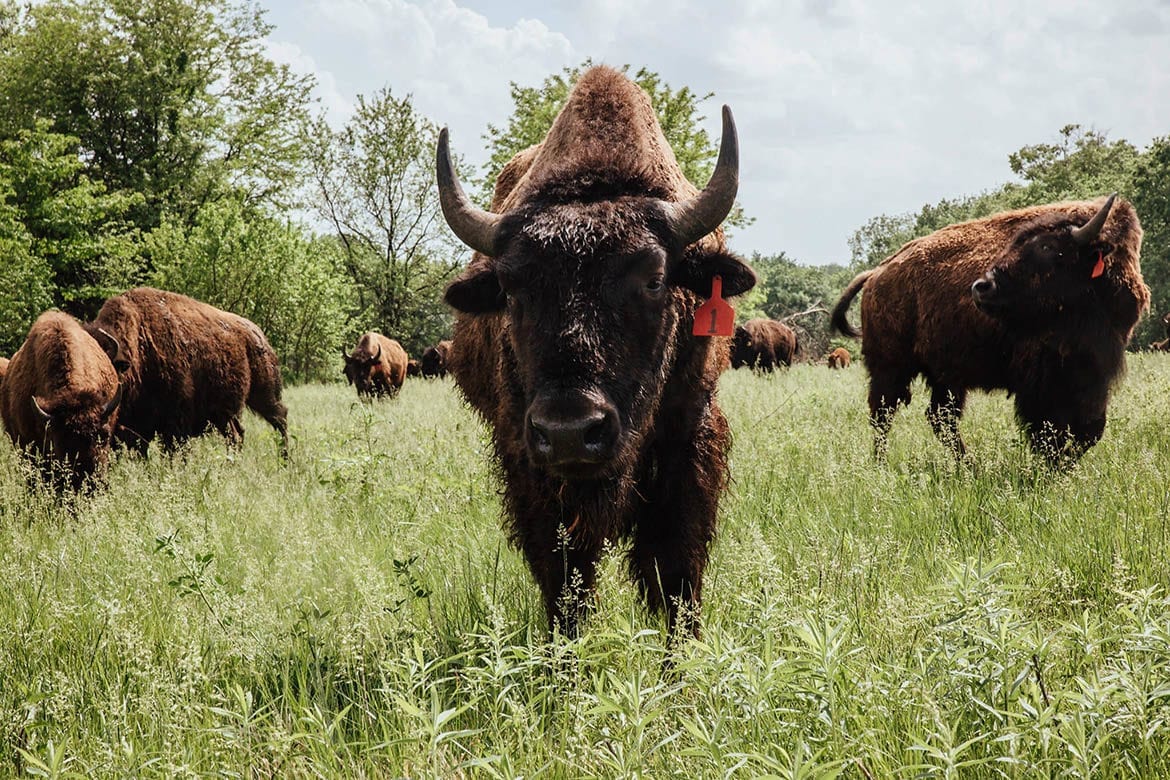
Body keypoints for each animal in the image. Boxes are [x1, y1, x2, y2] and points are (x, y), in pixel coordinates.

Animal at [86, 287, 288, 457]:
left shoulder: (176, 420)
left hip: (263, 395)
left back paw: (284, 461)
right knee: (237, 435)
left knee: (280, 419)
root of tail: (258, 334)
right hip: (225, 412)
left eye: (107, 371)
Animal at [437, 66, 754, 638]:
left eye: (655, 279)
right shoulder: (530, 467)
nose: (569, 431)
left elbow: (676, 575)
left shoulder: (690, 445)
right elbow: (565, 582)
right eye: (511, 289)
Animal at [832, 195, 1147, 464]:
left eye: (1047, 247)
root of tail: (877, 273)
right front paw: (1047, 470)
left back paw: (969, 466)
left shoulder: (1095, 374)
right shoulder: (1041, 382)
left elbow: (1090, 430)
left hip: (945, 375)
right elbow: (1048, 432)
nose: (982, 287)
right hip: (891, 367)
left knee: (940, 418)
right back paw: (882, 464)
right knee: (883, 414)